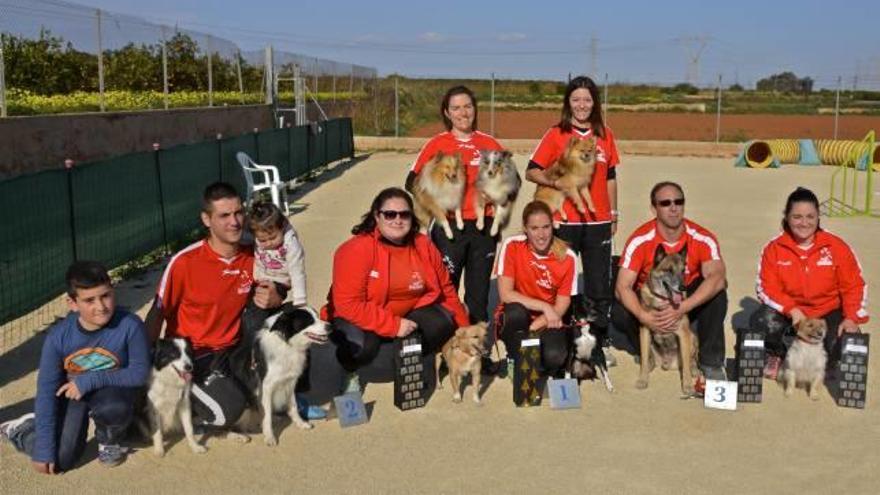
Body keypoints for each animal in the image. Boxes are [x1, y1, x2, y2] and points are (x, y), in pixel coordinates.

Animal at [241, 306, 330, 446]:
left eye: (317, 316)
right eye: (309, 320)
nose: (330, 327)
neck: (288, 345)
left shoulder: (290, 382)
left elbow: (293, 406)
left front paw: (301, 423)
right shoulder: (266, 387)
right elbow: (266, 416)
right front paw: (269, 436)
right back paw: (240, 436)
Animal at [636, 244, 696, 400]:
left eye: (683, 271)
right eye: (668, 270)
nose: (683, 287)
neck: (663, 301)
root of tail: (667, 363)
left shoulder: (683, 334)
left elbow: (686, 367)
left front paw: (688, 386)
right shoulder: (644, 331)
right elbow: (644, 359)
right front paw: (643, 379)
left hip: (692, 337)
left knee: (691, 361)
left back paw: (695, 370)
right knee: (648, 358)